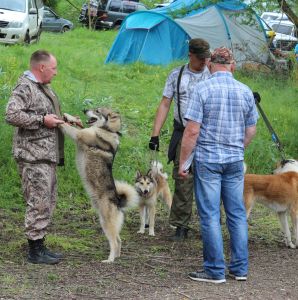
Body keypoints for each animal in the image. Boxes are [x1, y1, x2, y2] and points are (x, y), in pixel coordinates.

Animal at [61, 108, 140, 262]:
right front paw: (69, 116)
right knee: (119, 240)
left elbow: (68, 127)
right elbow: (74, 124)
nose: (84, 109)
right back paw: (117, 256)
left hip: (106, 222)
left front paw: (58, 119)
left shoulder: (79, 135)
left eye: (97, 110)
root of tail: (118, 201)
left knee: (114, 242)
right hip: (104, 221)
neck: (106, 130)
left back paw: (110, 260)